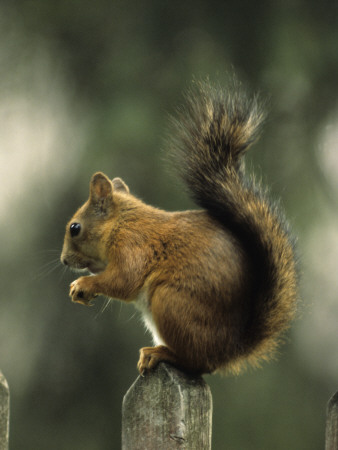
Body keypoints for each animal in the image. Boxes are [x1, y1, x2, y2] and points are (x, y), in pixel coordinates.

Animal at [59, 79, 298, 374]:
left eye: (75, 228)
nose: (64, 260)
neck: (122, 223)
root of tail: (229, 351)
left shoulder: (133, 246)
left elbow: (123, 280)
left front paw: (82, 284)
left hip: (171, 302)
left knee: (198, 362)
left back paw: (160, 353)